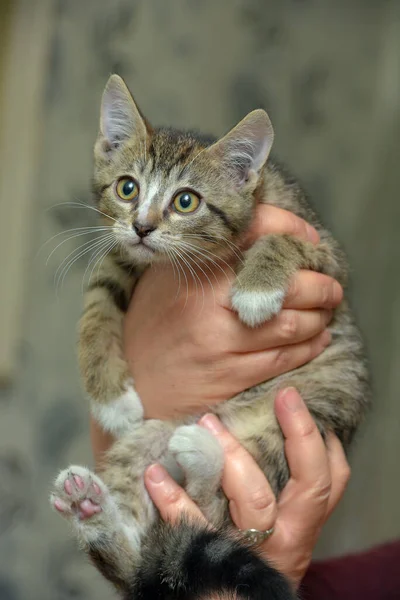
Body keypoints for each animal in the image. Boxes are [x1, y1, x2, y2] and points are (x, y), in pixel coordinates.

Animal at [51, 77, 370, 600]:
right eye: (127, 188)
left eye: (186, 201)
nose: (142, 226)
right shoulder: (123, 255)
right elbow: (98, 300)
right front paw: (111, 398)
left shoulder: (329, 257)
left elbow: (288, 242)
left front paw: (257, 290)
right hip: (150, 441)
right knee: (140, 564)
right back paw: (93, 511)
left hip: (298, 420)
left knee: (217, 511)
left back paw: (202, 456)